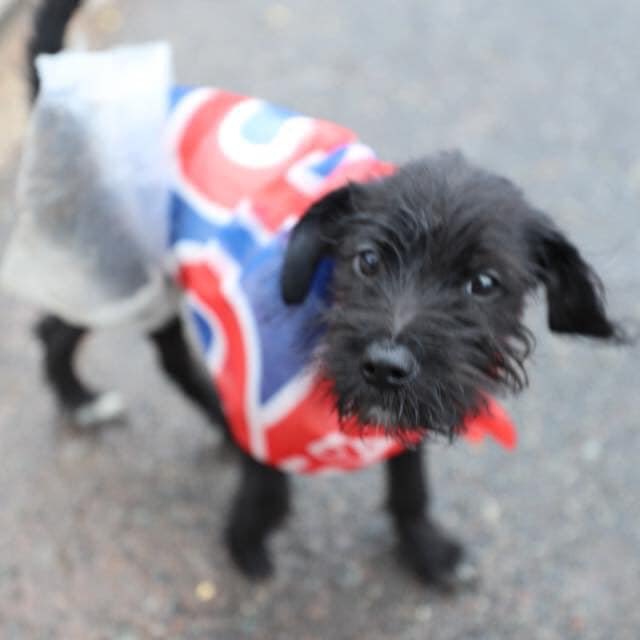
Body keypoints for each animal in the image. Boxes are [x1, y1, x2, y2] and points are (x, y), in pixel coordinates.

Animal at [23, 0, 620, 592]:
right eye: (368, 259)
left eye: (484, 284)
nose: (385, 365)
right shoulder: (261, 385)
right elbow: (267, 475)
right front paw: (247, 537)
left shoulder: (420, 398)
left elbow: (410, 478)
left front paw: (424, 547)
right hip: (115, 267)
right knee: (60, 331)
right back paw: (83, 401)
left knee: (154, 350)